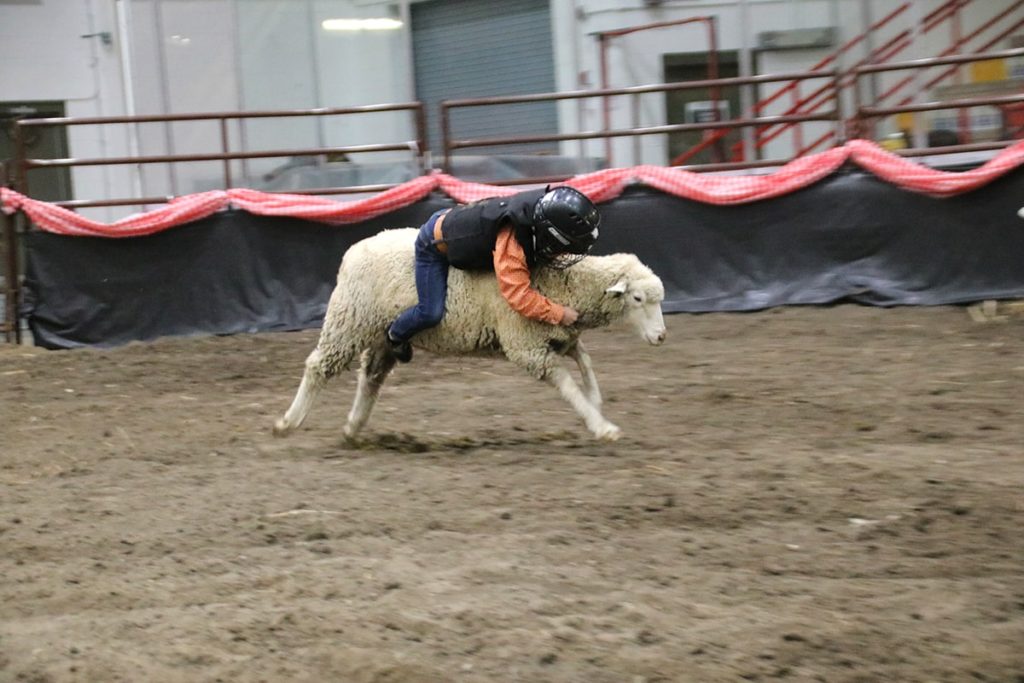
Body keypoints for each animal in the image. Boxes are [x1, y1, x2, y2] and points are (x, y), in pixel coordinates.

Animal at [272, 227, 667, 442]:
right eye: (637, 298)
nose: (662, 337)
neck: (564, 282)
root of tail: (352, 252)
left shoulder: (557, 337)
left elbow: (586, 361)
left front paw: (596, 403)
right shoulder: (526, 345)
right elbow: (569, 385)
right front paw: (601, 426)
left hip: (379, 335)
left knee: (370, 377)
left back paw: (353, 427)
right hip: (348, 322)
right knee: (318, 367)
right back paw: (287, 422)